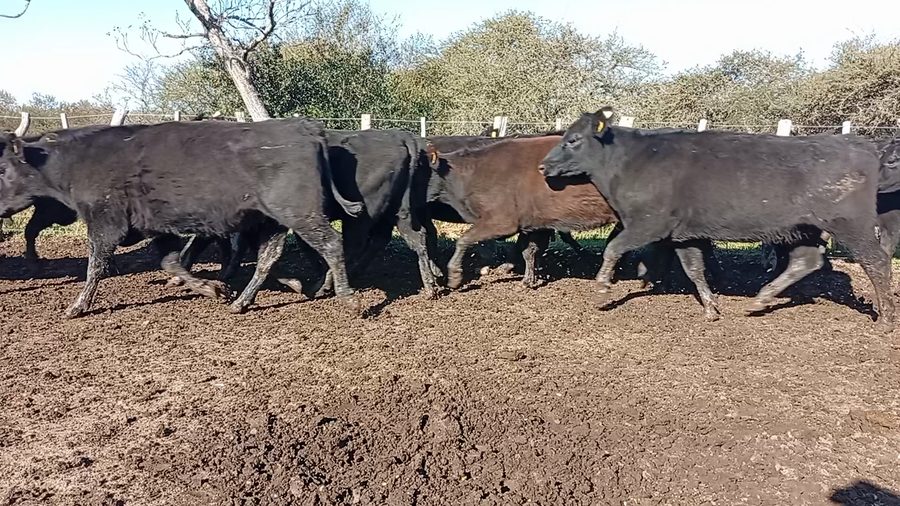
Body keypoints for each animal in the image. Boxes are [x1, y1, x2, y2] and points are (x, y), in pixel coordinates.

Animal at [0, 117, 363, 318]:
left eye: (2, 168)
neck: (77, 161)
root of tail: (303, 126)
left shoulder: (105, 223)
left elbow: (95, 266)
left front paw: (77, 306)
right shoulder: (155, 226)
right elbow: (172, 262)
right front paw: (212, 288)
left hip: (299, 213)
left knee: (332, 244)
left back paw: (347, 298)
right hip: (273, 220)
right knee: (269, 257)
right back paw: (242, 302)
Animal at [539, 107, 893, 331]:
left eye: (572, 140)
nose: (543, 166)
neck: (630, 162)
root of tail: (861, 143)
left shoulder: (649, 222)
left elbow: (613, 248)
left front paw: (602, 288)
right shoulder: (683, 234)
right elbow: (694, 269)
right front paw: (711, 307)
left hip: (850, 223)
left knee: (877, 261)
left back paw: (886, 321)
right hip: (802, 228)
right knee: (807, 261)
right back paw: (761, 299)